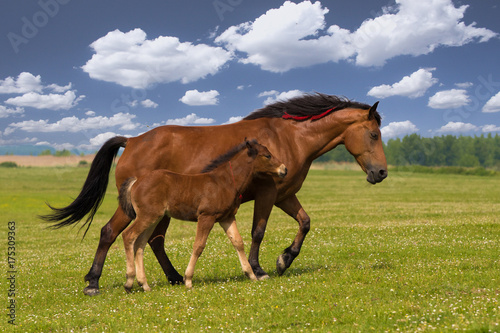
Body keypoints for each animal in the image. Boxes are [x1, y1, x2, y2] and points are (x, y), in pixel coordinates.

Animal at [117, 139, 288, 290]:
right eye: (267, 155)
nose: (284, 169)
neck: (224, 182)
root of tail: (136, 181)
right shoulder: (206, 216)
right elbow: (199, 245)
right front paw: (188, 280)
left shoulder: (227, 218)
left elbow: (238, 242)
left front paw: (251, 275)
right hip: (148, 216)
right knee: (128, 236)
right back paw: (129, 282)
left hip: (154, 218)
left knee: (140, 243)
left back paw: (144, 285)